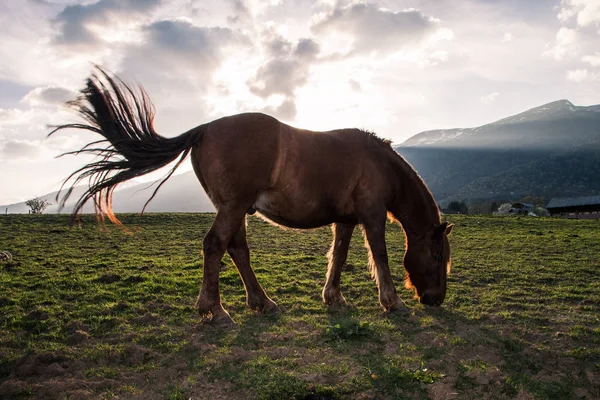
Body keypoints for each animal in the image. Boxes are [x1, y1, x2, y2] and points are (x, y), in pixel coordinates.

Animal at [51, 68, 452, 324]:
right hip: (232, 207)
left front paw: (333, 297)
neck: (378, 163)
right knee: (215, 245)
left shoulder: (346, 220)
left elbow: (337, 256)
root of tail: (204, 129)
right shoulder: (371, 214)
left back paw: (262, 303)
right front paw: (392, 303)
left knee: (237, 249)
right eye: (436, 255)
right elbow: (380, 256)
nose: (435, 299)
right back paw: (215, 310)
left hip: (236, 209)